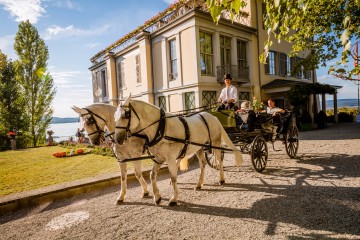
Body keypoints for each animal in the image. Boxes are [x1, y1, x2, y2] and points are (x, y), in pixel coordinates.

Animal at [114, 95, 243, 206]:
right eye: (115, 116)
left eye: (125, 115)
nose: (117, 139)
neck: (161, 128)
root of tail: (213, 116)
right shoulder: (159, 158)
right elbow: (152, 175)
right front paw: (157, 197)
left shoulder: (170, 158)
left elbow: (173, 177)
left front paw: (174, 198)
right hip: (199, 148)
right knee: (203, 164)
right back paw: (199, 184)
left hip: (215, 143)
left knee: (219, 161)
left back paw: (221, 179)